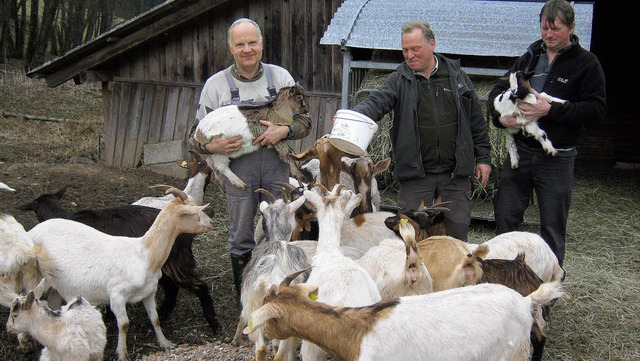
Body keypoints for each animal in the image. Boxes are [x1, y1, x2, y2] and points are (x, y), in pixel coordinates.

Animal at [27, 187, 212, 358]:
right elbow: (124, 324)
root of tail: (33, 229)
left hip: (57, 284)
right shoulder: (117, 296)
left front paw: (165, 343)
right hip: (34, 277)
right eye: (194, 212)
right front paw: (122, 353)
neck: (144, 253)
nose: (211, 222)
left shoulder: (149, 292)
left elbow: (155, 319)